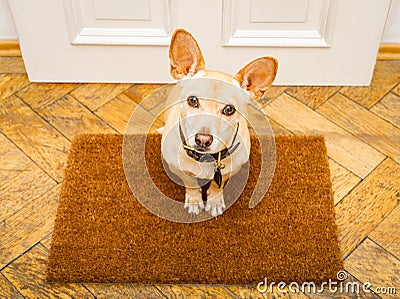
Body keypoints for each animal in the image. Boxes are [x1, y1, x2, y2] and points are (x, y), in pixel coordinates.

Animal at [159, 29, 278, 217]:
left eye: (229, 109)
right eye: (192, 100)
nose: (203, 139)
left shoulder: (229, 170)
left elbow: (217, 184)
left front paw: (214, 201)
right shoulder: (178, 168)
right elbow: (190, 182)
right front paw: (194, 199)